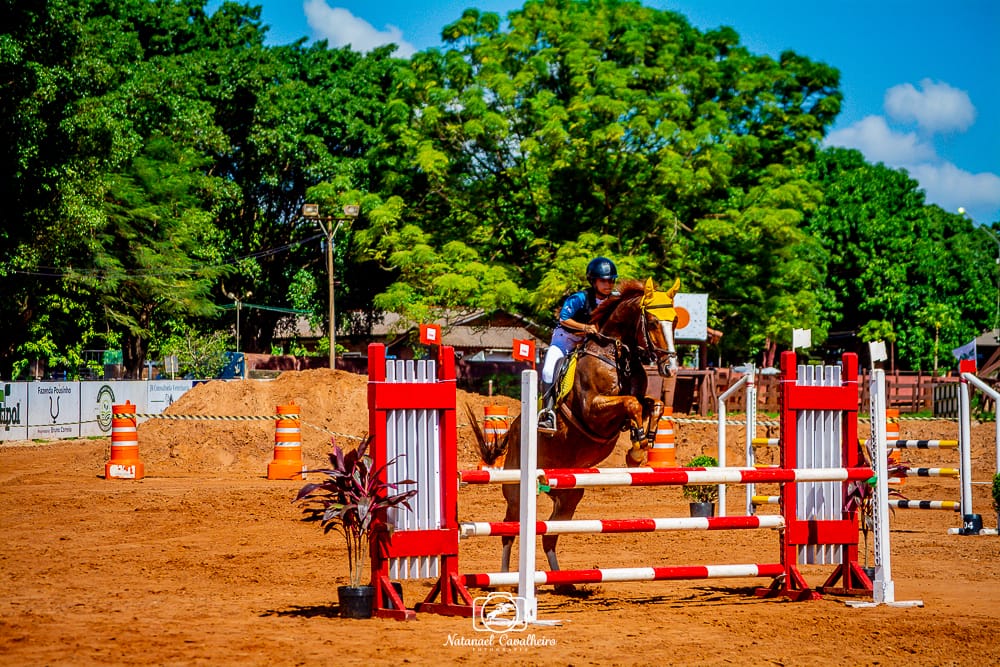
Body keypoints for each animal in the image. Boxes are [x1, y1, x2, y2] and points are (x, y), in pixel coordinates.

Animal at [470, 276, 680, 580]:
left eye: (674, 320)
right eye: (652, 322)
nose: (671, 368)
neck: (615, 354)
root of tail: (514, 429)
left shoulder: (632, 402)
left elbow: (654, 405)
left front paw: (645, 439)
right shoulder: (593, 409)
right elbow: (631, 404)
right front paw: (637, 451)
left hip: (570, 492)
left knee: (549, 535)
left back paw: (562, 582)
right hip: (516, 490)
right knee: (509, 528)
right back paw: (504, 578)